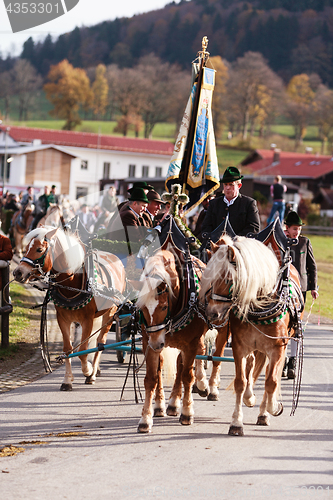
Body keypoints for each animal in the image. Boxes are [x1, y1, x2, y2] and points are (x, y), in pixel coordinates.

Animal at [13, 226, 126, 390]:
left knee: (100, 342)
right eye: (26, 247)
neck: (72, 282)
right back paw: (96, 369)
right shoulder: (63, 319)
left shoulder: (87, 320)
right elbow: (68, 349)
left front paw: (88, 370)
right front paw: (67, 380)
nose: (17, 272)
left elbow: (83, 351)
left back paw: (93, 373)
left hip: (110, 313)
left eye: (39, 249)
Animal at [135, 248, 208, 432]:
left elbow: (187, 376)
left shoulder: (191, 343)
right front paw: (145, 418)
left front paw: (187, 412)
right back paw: (164, 405)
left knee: (189, 362)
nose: (156, 344)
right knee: (167, 366)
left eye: (163, 307)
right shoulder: (148, 341)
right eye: (142, 309)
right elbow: (151, 379)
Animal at [198, 234, 302, 434]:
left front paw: (271, 408)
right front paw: (237, 421)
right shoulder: (240, 346)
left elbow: (271, 382)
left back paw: (264, 412)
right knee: (252, 367)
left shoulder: (277, 349)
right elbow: (241, 381)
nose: (212, 314)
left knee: (269, 376)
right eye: (208, 277)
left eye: (228, 278)